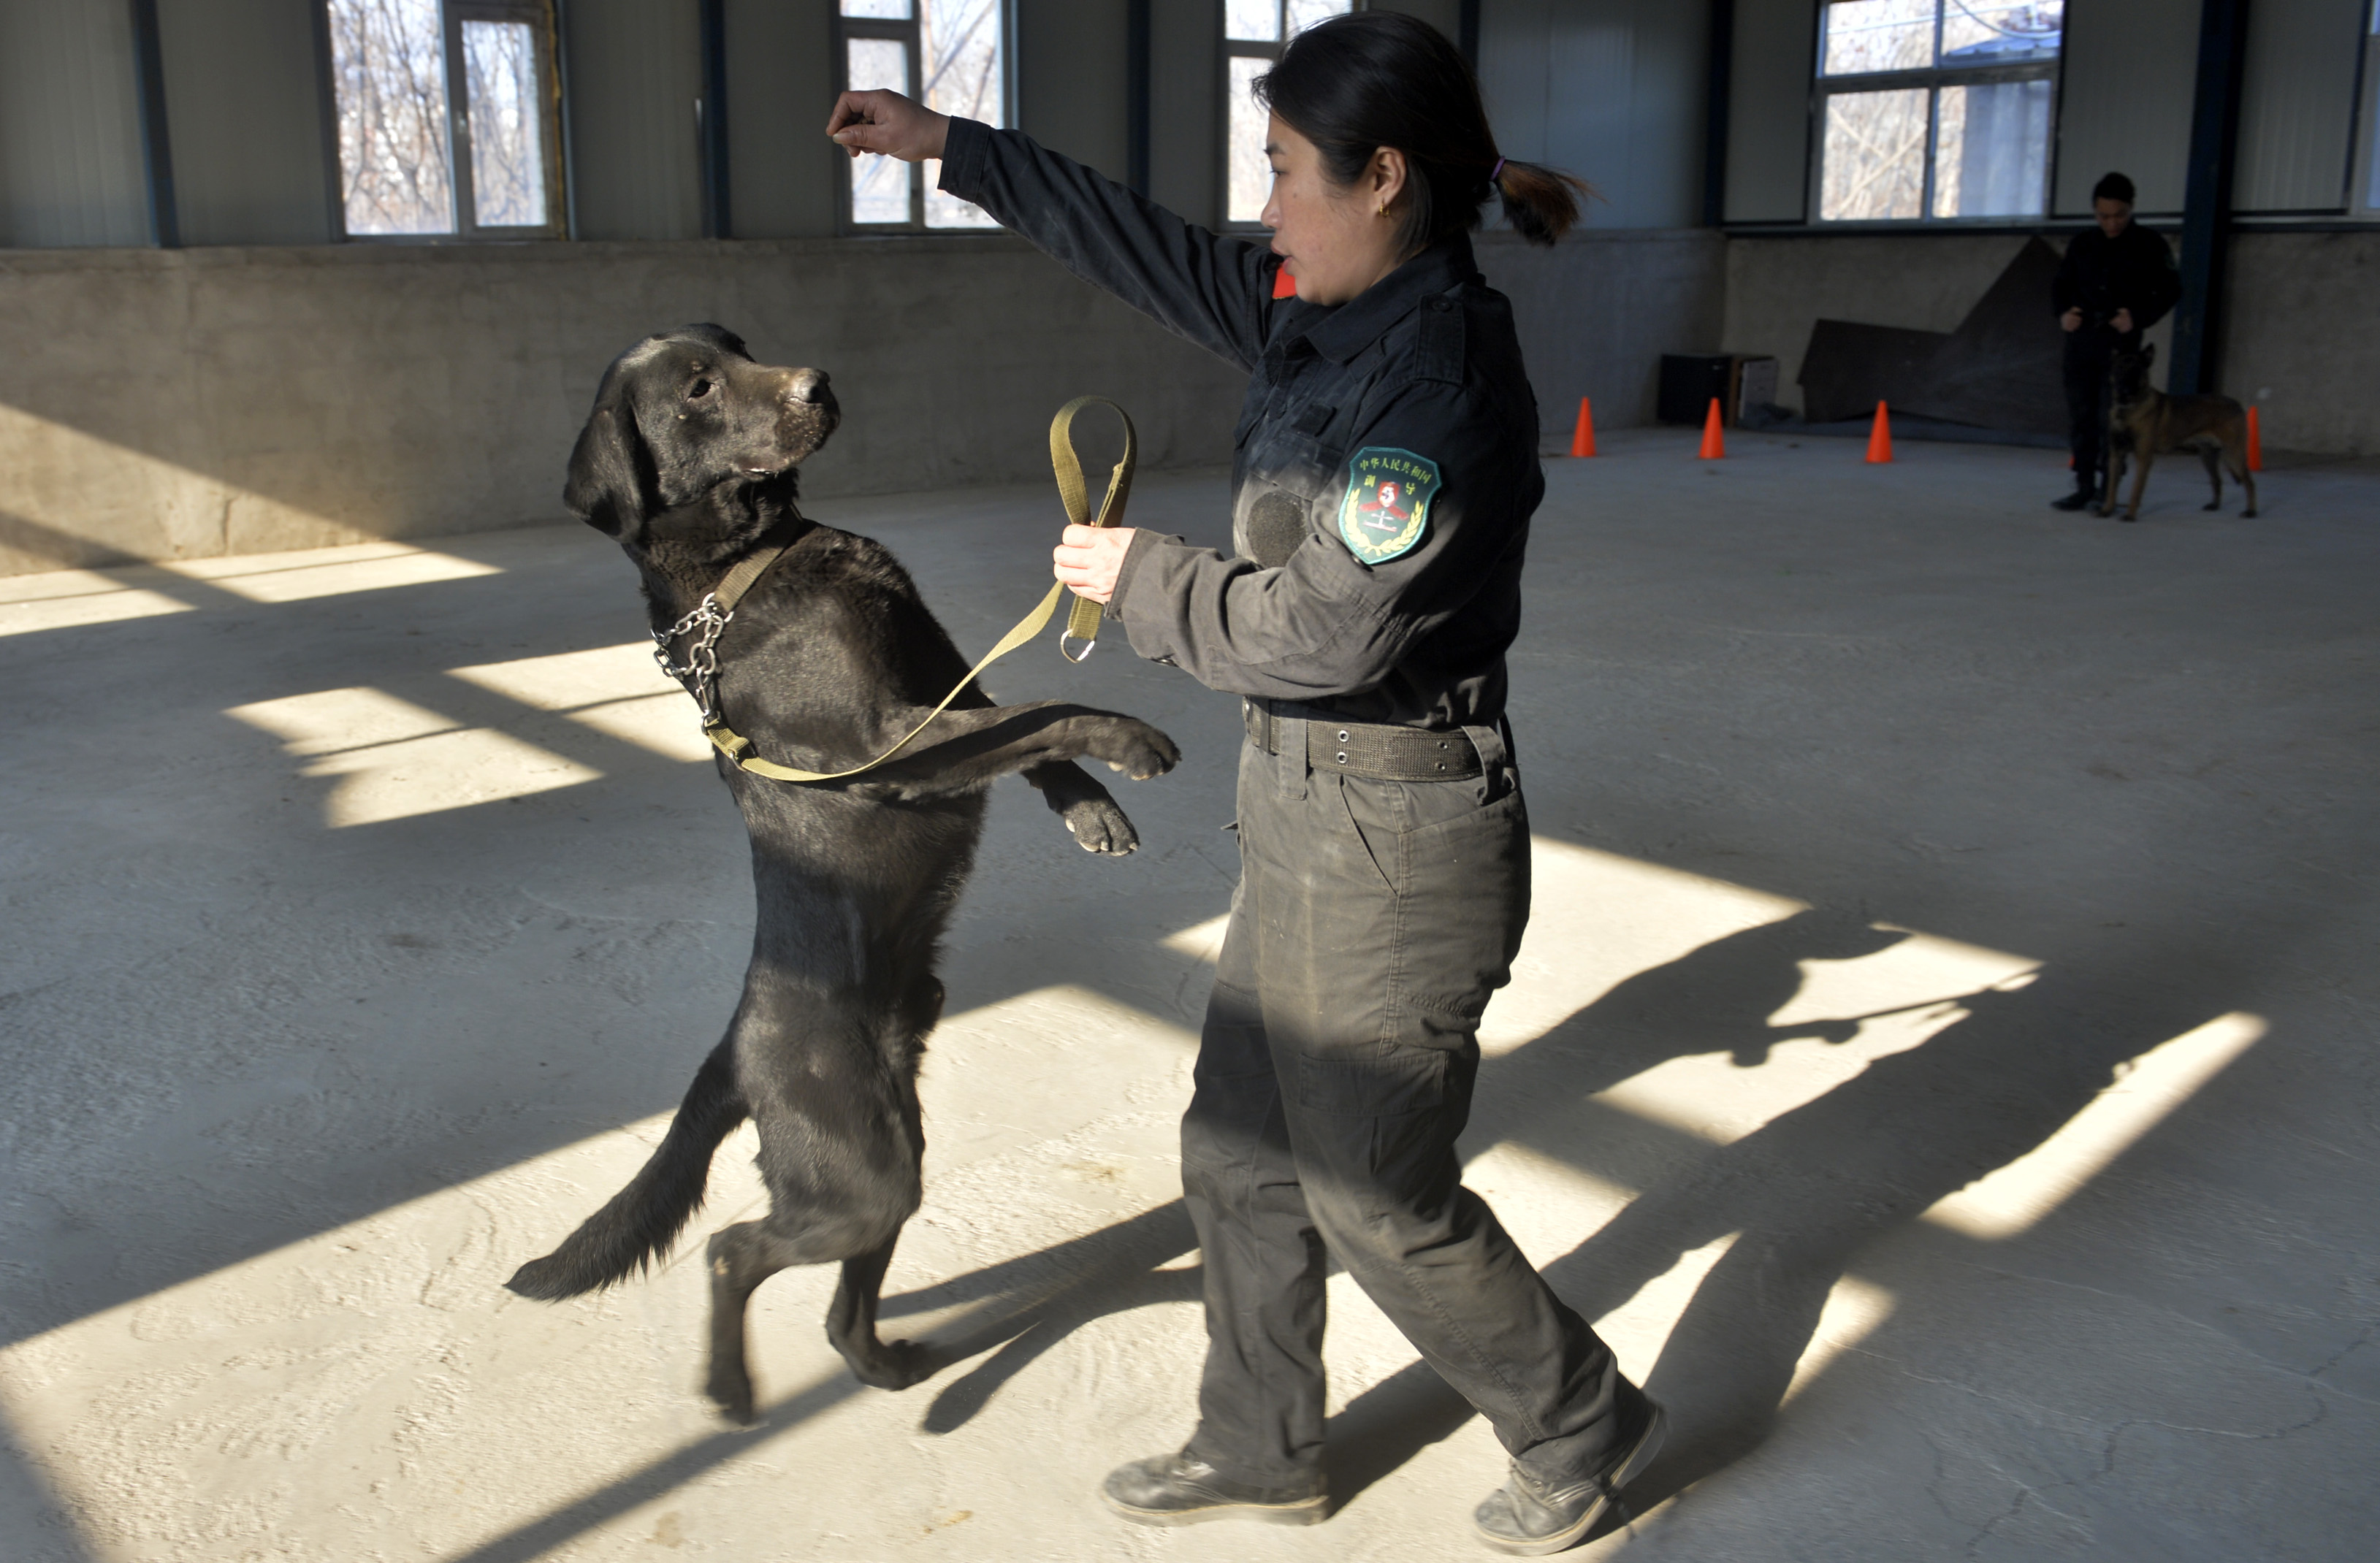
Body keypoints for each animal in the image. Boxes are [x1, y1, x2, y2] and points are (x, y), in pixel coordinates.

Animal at [506, 323, 1175, 1418]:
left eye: (738, 343)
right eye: (701, 386)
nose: (817, 383)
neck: (747, 565)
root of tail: (734, 1047)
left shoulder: (942, 673)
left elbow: (1024, 731)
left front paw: (1092, 809)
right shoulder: (889, 739)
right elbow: (1038, 710)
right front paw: (1128, 739)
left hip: (886, 1155)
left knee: (836, 1301)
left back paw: (883, 1366)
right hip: (856, 1169)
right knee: (732, 1251)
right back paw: (731, 1385)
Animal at [2094, 343, 2256, 523]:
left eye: (2136, 369)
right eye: (2119, 368)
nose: (2124, 387)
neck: (2128, 409)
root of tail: (2237, 404)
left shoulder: (2144, 458)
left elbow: (2135, 490)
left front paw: (2130, 515)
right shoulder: (2116, 456)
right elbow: (2111, 488)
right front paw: (2107, 510)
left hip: (2232, 454)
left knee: (2250, 483)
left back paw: (2250, 512)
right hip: (2208, 456)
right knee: (2217, 480)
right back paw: (2214, 505)